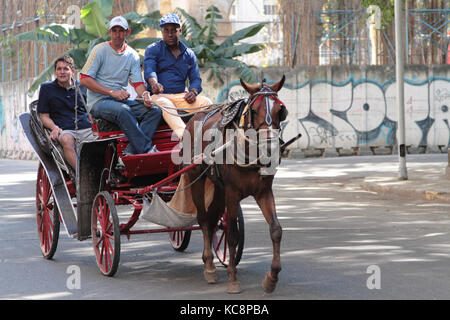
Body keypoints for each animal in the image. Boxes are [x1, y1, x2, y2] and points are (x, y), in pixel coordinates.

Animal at [183, 76, 288, 294]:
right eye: (253, 110)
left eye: (280, 110)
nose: (270, 147)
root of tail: (194, 118)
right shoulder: (232, 193)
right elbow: (232, 235)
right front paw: (232, 278)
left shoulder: (264, 192)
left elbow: (276, 230)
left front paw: (271, 278)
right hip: (196, 178)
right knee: (204, 219)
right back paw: (209, 266)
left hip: (218, 189)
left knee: (212, 221)